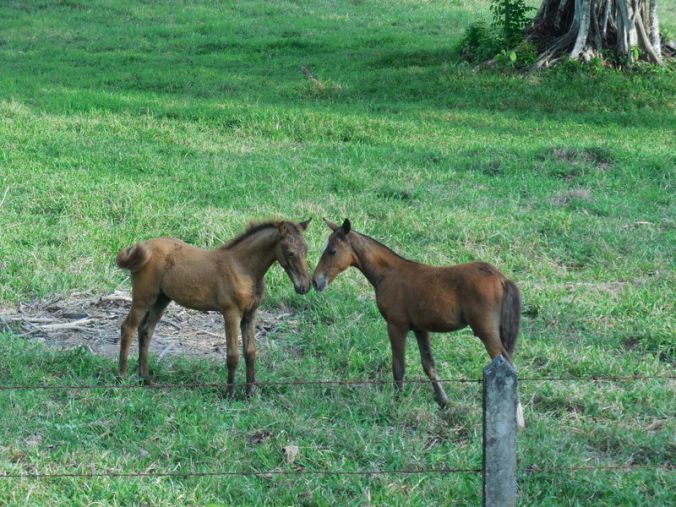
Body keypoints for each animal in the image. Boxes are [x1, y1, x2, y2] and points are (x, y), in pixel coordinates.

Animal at [115, 219, 312, 395]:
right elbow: (232, 355)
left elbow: (250, 352)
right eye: (290, 253)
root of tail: (142, 247)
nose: (304, 286)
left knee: (146, 331)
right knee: (128, 328)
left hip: (161, 300)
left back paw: (146, 379)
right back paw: (121, 378)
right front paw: (229, 394)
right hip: (143, 298)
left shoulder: (250, 314)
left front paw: (250, 393)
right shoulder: (231, 313)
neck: (243, 267)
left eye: (306, 249)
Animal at [312, 219, 524, 429]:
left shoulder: (396, 326)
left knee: (510, 365)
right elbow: (428, 365)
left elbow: (398, 366)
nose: (316, 281)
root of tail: (502, 278)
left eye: (332, 251)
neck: (389, 274)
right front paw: (443, 402)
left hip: (486, 332)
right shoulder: (421, 329)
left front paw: (397, 402)